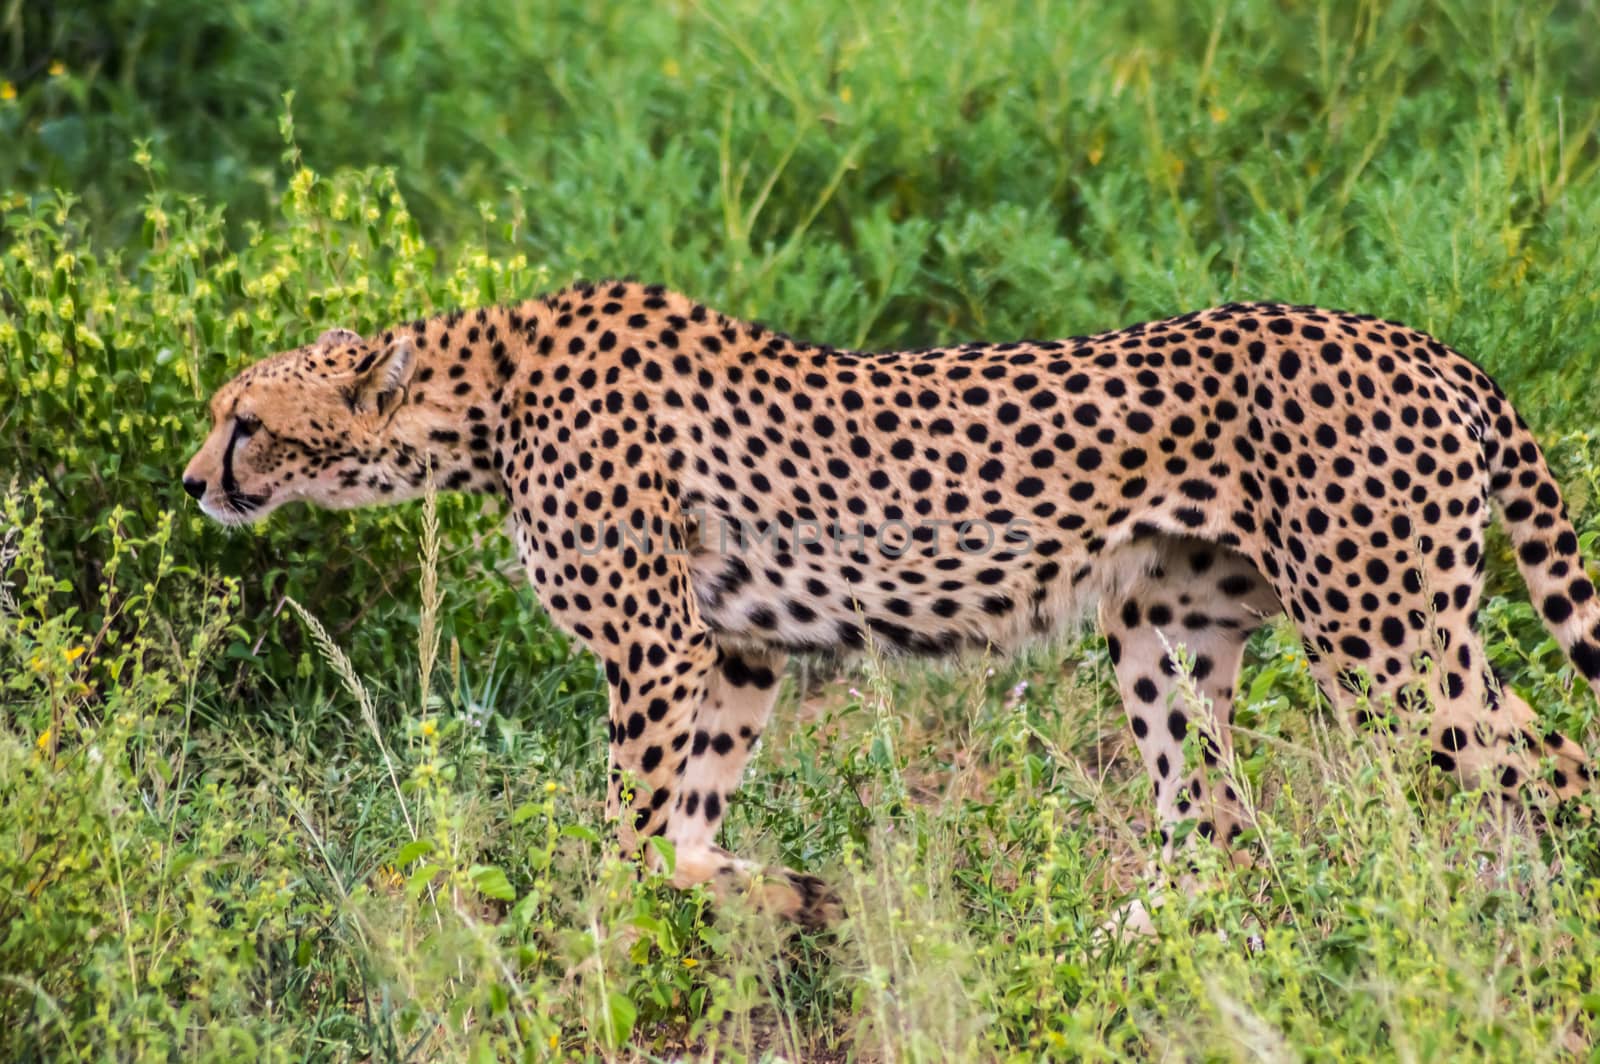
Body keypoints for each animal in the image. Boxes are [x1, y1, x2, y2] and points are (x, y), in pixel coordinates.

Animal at [184, 284, 1587, 928]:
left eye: (245, 420)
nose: (193, 481)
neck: (484, 395)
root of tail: (1429, 344)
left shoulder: (655, 643)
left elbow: (625, 829)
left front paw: (598, 940)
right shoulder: (734, 646)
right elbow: (688, 816)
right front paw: (769, 893)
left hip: (1386, 640)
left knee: (1552, 762)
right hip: (1166, 634)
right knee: (1219, 830)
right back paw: (1126, 944)